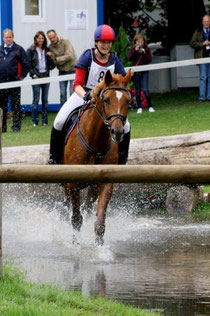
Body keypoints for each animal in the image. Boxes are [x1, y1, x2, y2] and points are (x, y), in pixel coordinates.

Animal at [62, 69, 132, 246]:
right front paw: (75, 243)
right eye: (106, 100)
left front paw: (99, 245)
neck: (96, 142)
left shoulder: (105, 183)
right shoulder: (72, 184)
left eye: (128, 101)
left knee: (88, 207)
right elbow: (76, 219)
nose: (117, 132)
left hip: (92, 188)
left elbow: (99, 221)